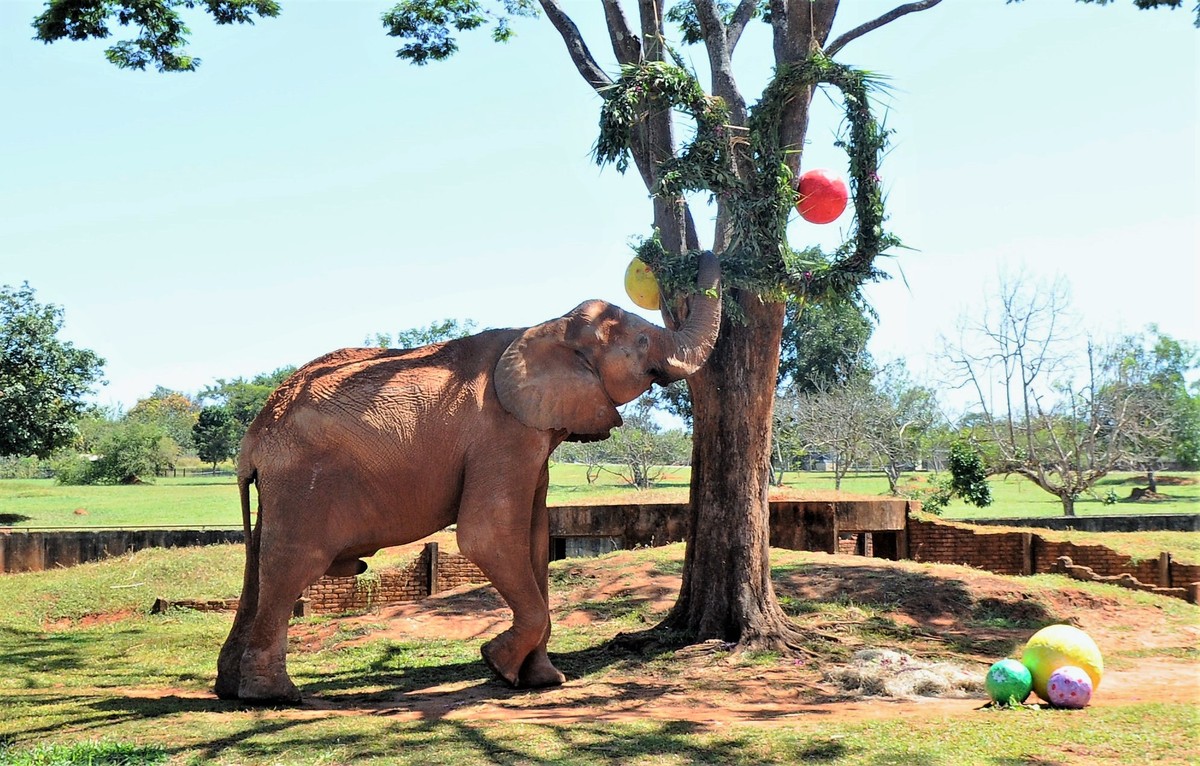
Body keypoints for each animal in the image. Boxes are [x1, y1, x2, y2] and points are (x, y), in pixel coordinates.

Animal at [214, 251, 721, 703]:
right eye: (642, 342)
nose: (698, 252)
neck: (546, 325)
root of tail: (254, 437)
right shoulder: (502, 434)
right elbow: (488, 535)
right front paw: (497, 664)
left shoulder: (531, 437)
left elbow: (535, 540)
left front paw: (541, 680)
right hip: (303, 482)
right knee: (291, 566)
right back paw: (276, 697)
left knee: (258, 568)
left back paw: (231, 690)